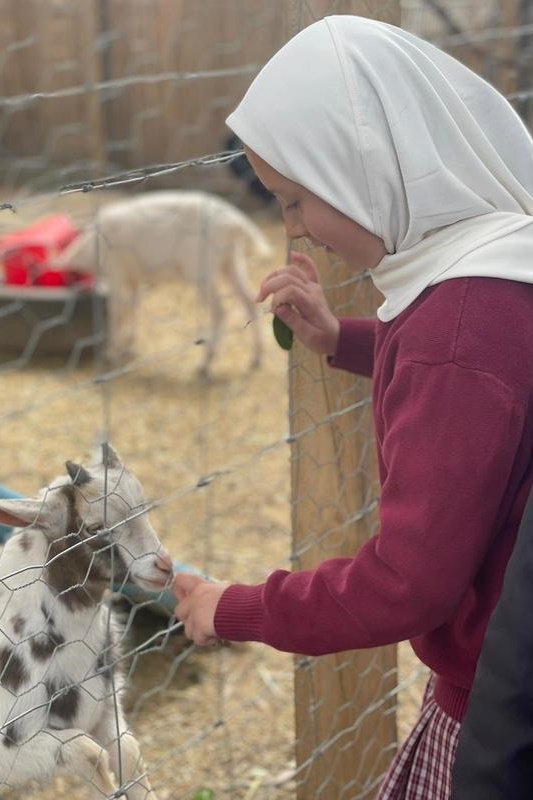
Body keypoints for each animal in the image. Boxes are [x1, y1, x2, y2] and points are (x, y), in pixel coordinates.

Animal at [0, 444, 171, 800]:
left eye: (145, 506)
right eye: (94, 529)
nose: (164, 566)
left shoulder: (104, 708)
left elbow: (128, 750)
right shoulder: (10, 748)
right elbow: (89, 753)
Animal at [54, 191, 274, 378]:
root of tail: (235, 222)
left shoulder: (116, 272)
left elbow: (116, 311)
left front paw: (112, 353)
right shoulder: (134, 277)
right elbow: (133, 306)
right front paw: (128, 345)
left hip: (201, 269)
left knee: (219, 310)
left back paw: (206, 364)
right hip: (230, 260)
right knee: (248, 301)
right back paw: (257, 358)